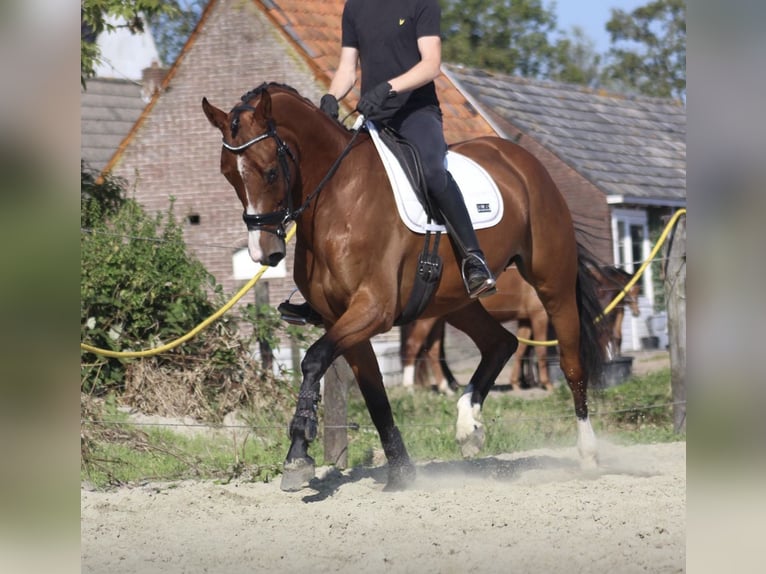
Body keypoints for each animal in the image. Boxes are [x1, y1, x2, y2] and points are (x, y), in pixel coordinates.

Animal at [201, 83, 608, 492]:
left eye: (270, 172)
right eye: (228, 175)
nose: (263, 252)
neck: (338, 199)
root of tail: (522, 160)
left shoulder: (373, 309)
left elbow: (314, 359)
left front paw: (298, 453)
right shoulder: (341, 319)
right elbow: (374, 393)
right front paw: (401, 470)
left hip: (552, 283)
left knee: (571, 363)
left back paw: (589, 453)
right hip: (452, 302)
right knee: (500, 343)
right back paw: (469, 427)